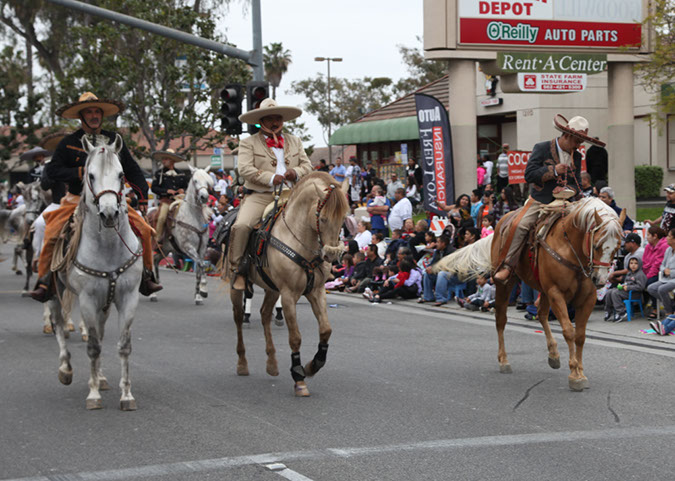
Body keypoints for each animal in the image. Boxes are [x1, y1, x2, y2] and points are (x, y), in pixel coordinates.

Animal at [47, 133, 144, 410]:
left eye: (122, 174)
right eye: (90, 175)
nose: (109, 213)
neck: (108, 247)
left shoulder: (127, 298)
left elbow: (122, 346)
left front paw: (126, 395)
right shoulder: (87, 299)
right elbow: (92, 346)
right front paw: (93, 396)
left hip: (105, 302)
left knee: (99, 333)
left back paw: (100, 378)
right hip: (55, 292)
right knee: (59, 326)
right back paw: (66, 370)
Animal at [151, 167, 214, 304]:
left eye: (207, 181)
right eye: (195, 181)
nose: (204, 197)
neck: (193, 216)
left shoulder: (201, 249)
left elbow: (200, 267)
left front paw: (198, 296)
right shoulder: (188, 247)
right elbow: (201, 265)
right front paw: (204, 289)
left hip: (165, 249)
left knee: (155, 261)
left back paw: (156, 285)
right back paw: (152, 293)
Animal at [224, 171, 348, 396]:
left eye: (343, 217)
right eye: (323, 218)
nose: (332, 254)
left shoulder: (316, 291)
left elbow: (326, 330)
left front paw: (313, 365)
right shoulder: (289, 294)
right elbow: (295, 337)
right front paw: (299, 376)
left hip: (272, 288)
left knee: (265, 314)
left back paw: (272, 363)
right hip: (236, 285)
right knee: (238, 318)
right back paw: (242, 363)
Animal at [434, 198, 624, 390]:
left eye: (617, 247)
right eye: (597, 245)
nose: (600, 279)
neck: (569, 247)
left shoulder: (587, 298)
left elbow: (580, 336)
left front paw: (580, 372)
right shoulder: (556, 292)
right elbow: (569, 331)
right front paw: (575, 374)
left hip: (542, 289)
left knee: (541, 314)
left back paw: (553, 355)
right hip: (505, 282)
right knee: (501, 319)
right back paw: (504, 360)